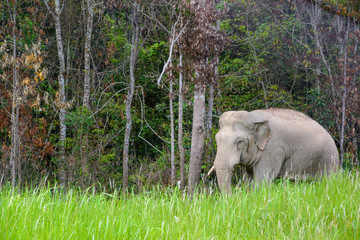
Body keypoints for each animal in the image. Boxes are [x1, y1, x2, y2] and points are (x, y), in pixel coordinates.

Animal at [208, 109, 340, 193]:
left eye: (239, 142)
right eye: (216, 139)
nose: (234, 197)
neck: (254, 118)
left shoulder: (273, 148)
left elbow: (262, 180)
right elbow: (248, 179)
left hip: (329, 159)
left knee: (327, 182)